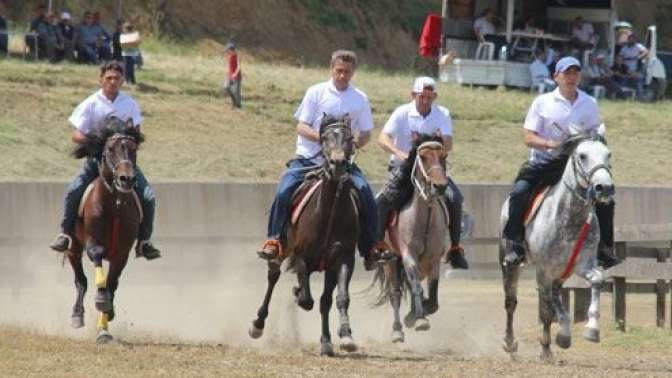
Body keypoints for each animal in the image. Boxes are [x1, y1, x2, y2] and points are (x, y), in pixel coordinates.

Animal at [67, 116, 144, 344]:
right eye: (110, 149)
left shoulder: (122, 254)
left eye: (134, 149)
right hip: (73, 247)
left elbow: (111, 285)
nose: (127, 179)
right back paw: (77, 316)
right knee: (81, 281)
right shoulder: (94, 244)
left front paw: (105, 324)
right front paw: (101, 302)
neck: (114, 205)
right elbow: (100, 279)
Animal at [248, 113, 362, 356]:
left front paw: (343, 336)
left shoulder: (342, 259)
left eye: (349, 138)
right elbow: (307, 300)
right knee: (273, 276)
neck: (328, 214)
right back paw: (258, 324)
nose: (338, 164)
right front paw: (298, 292)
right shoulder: (301, 256)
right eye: (326, 137)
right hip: (281, 249)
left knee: (324, 300)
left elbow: (337, 298)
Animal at [370, 135, 448, 342]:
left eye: (443, 156)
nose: (439, 186)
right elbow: (415, 288)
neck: (424, 218)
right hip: (390, 262)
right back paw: (397, 329)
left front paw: (418, 313)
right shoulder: (408, 256)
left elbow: (433, 298)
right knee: (395, 294)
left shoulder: (434, 259)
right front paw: (419, 319)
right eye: (423, 156)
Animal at [498, 132, 616, 360]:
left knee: (555, 297)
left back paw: (564, 334)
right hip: (511, 264)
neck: (570, 218)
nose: (604, 188)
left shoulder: (584, 265)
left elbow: (597, 281)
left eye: (608, 155)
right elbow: (545, 311)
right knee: (511, 302)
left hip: (561, 272)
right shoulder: (544, 270)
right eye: (582, 155)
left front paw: (592, 329)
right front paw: (545, 348)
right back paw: (510, 343)